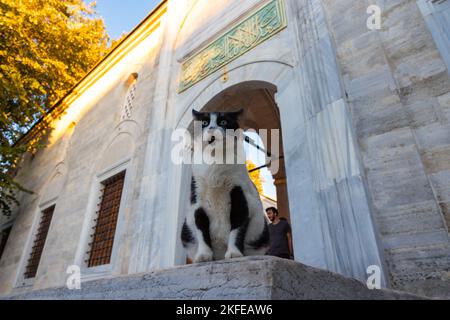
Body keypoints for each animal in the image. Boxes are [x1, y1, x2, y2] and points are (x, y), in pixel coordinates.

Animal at [181, 109, 268, 262]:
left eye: (223, 122)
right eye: (205, 122)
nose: (211, 128)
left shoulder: (241, 196)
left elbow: (237, 227)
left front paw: (234, 253)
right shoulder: (197, 201)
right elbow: (201, 227)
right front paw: (204, 255)